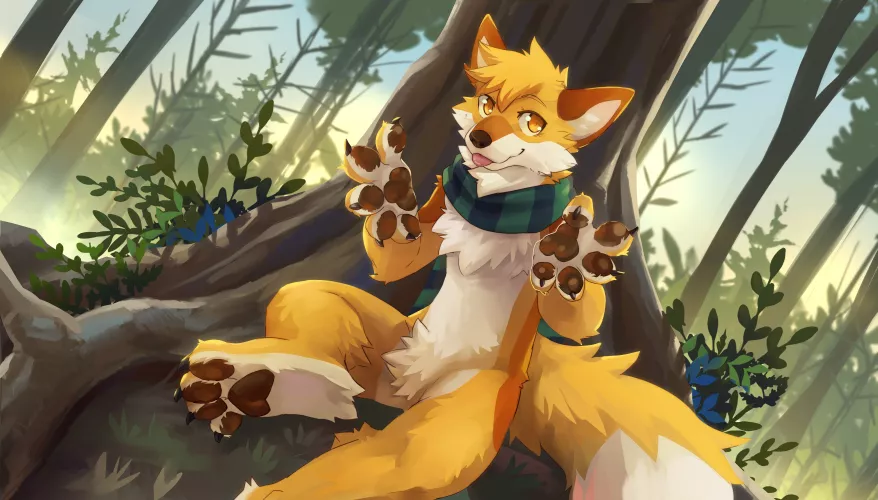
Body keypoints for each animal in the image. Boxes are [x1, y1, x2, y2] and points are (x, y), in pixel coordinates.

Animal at [174, 14, 753, 500]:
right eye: (486, 104)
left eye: (531, 122)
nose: (478, 136)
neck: (497, 207)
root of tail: (410, 392)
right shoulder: (432, 215)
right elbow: (397, 261)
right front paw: (388, 194)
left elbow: (578, 316)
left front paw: (574, 260)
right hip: (384, 341)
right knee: (308, 316)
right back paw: (241, 383)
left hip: (445, 426)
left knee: (389, 462)